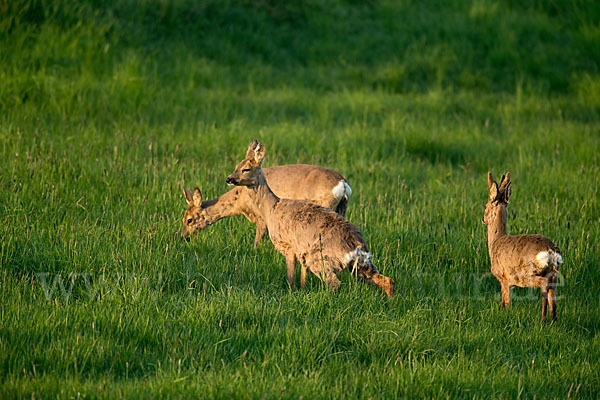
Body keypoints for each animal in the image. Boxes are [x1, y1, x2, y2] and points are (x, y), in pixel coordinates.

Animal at [182, 163, 352, 247]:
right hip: (341, 208)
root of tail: (343, 184)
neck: (241, 200)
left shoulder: (261, 216)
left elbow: (258, 240)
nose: (183, 237)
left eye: (189, 219)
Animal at [225, 139, 394, 296]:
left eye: (246, 168)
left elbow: (291, 277)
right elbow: (303, 278)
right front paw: (302, 290)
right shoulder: (303, 253)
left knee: (335, 283)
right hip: (362, 265)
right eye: (236, 166)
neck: (271, 208)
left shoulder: (288, 246)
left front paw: (291, 293)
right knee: (387, 281)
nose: (229, 178)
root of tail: (357, 245)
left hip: (322, 259)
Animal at [482, 172, 564, 322]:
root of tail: (551, 251)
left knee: (544, 285)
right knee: (552, 292)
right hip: (554, 273)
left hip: (528, 273)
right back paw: (553, 320)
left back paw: (543, 320)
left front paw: (505, 315)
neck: (496, 241)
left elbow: (506, 301)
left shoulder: (504, 277)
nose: (483, 219)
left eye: (485, 206)